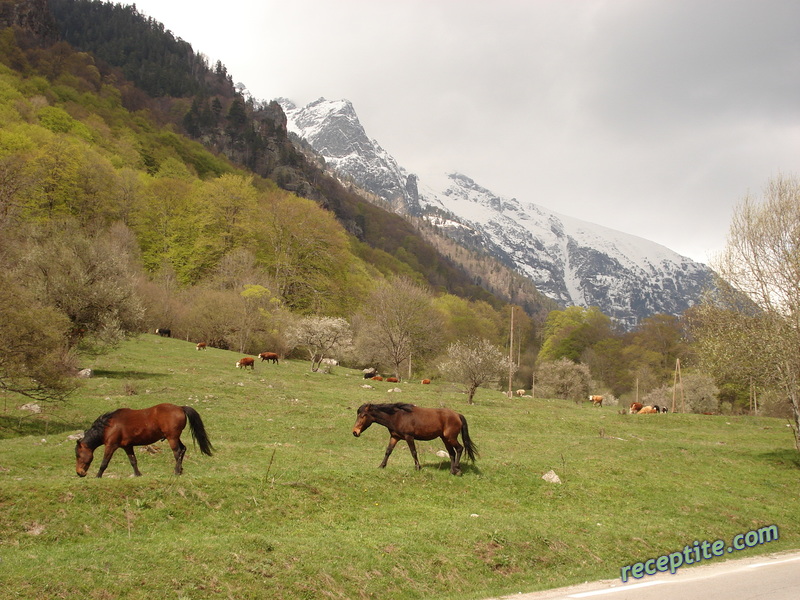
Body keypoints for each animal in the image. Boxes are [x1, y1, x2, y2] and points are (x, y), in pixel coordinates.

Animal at [74, 404, 212, 478]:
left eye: (78, 455)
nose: (79, 473)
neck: (109, 426)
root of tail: (180, 408)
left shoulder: (111, 446)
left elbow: (104, 463)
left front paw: (98, 476)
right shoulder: (127, 446)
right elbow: (133, 461)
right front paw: (138, 474)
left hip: (172, 438)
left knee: (177, 453)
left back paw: (177, 471)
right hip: (175, 437)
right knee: (183, 449)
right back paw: (179, 470)